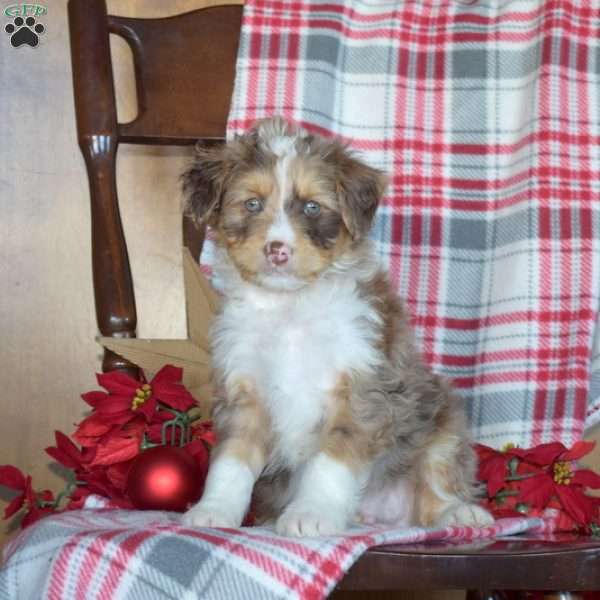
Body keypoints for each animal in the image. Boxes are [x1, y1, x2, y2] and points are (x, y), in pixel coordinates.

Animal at [180, 117, 490, 536]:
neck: (290, 309)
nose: (277, 250)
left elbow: (330, 461)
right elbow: (231, 462)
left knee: (438, 478)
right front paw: (212, 510)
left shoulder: (360, 385)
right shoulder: (244, 388)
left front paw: (311, 515)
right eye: (252, 203)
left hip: (442, 420)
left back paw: (460, 513)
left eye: (312, 207)